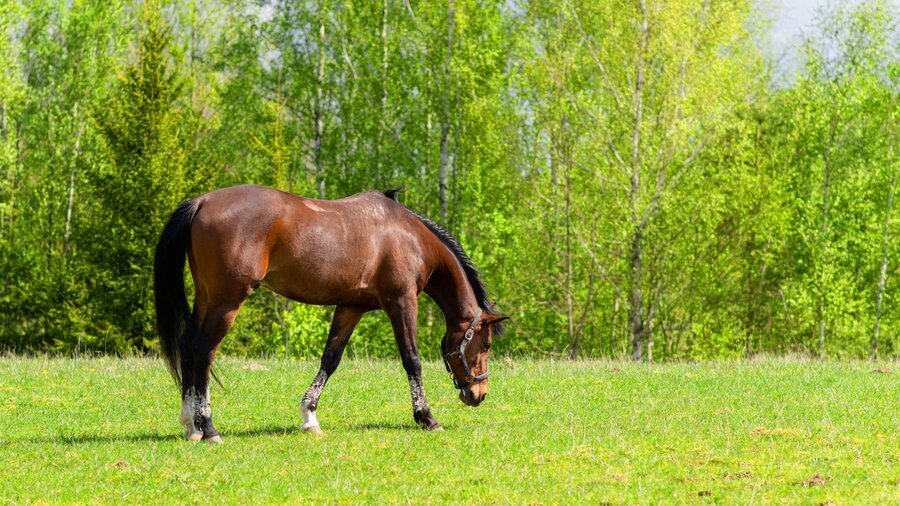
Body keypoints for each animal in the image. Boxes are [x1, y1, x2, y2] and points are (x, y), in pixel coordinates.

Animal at [153, 184, 507, 442]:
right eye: (486, 344)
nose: (479, 394)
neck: (410, 236)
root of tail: (202, 201)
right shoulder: (401, 302)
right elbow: (412, 359)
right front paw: (426, 417)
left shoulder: (351, 307)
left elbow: (330, 359)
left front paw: (309, 416)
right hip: (227, 302)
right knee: (203, 351)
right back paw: (208, 427)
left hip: (207, 298)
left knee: (188, 347)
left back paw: (191, 425)